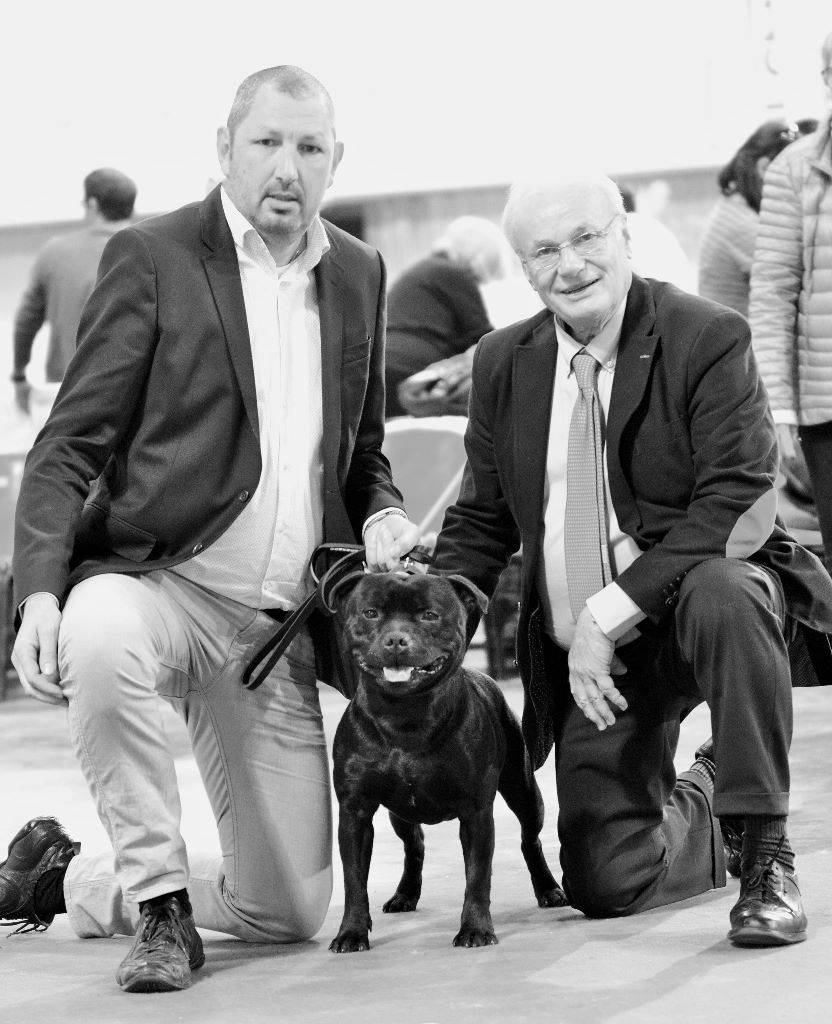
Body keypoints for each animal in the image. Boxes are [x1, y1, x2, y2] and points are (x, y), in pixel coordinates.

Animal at [327, 568, 567, 952]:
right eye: (370, 613)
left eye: (429, 615)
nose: (396, 640)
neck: (404, 716)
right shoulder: (355, 812)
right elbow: (354, 882)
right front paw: (351, 932)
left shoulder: (476, 811)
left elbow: (477, 876)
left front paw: (476, 929)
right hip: (400, 813)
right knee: (414, 845)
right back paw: (405, 894)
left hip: (525, 792)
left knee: (530, 839)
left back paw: (548, 889)